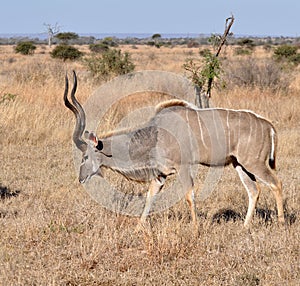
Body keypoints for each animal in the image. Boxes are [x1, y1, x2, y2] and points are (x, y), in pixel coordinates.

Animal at [63, 71, 284, 228]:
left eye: (85, 156)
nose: (80, 178)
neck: (155, 135)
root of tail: (268, 125)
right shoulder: (160, 174)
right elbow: (150, 197)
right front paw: (139, 228)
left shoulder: (183, 167)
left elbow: (189, 196)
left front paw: (195, 229)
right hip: (239, 165)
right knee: (254, 191)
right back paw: (245, 227)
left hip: (254, 163)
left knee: (276, 183)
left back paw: (281, 224)